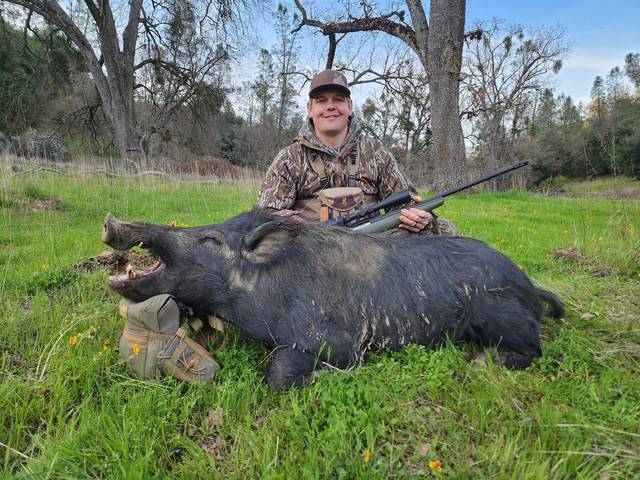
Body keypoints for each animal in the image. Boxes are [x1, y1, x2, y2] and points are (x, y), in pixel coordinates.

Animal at [102, 209, 563, 390]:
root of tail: (529, 285)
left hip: (501, 317)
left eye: (210, 239)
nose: (110, 221)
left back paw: (480, 361)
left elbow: (277, 373)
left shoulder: (335, 339)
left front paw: (326, 376)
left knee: (534, 349)